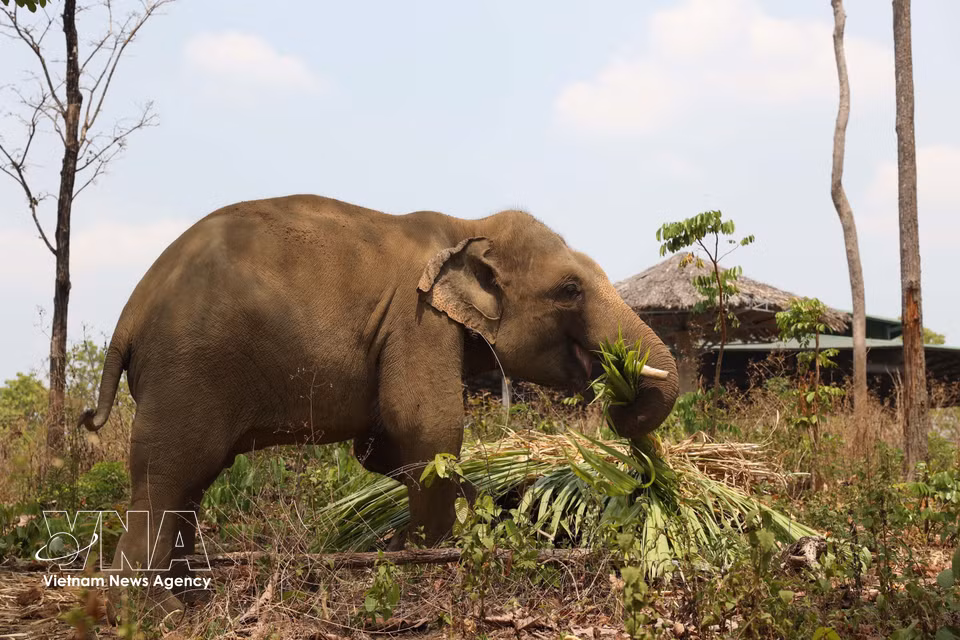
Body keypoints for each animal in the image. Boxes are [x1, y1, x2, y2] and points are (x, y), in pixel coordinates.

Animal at [80, 194, 679, 615]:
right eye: (570, 290)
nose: (621, 396)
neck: (463, 227)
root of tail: (130, 312)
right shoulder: (418, 323)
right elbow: (425, 427)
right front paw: (428, 554)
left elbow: (380, 449)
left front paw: (474, 518)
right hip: (187, 369)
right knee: (169, 473)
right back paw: (157, 613)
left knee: (190, 481)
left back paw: (192, 594)